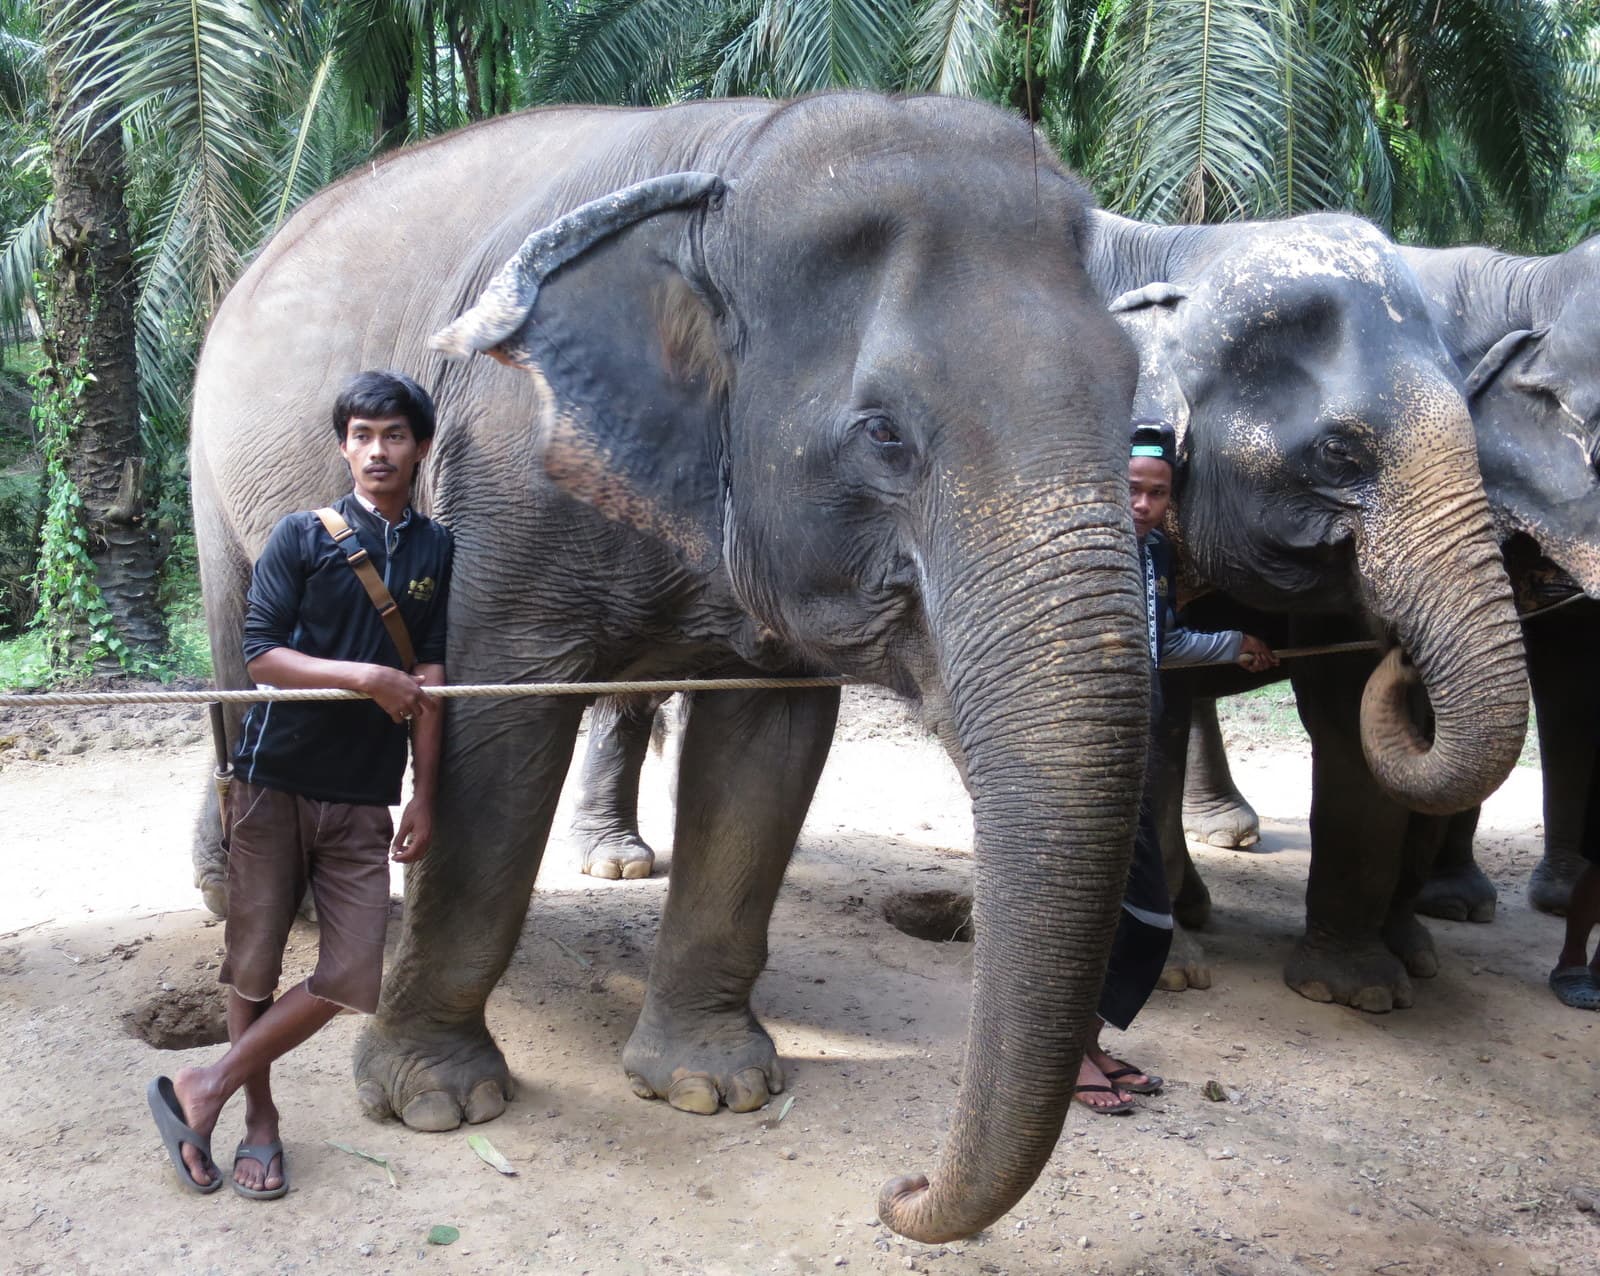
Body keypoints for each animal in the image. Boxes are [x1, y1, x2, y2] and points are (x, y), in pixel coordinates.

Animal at [190, 92, 1154, 1244]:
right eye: (883, 434)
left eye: (1132, 405)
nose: (899, 1189)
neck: (739, 166)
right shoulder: (504, 475)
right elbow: (492, 743)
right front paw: (435, 1103)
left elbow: (763, 761)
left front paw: (713, 1087)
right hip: (210, 468)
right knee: (238, 665)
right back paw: (247, 901)